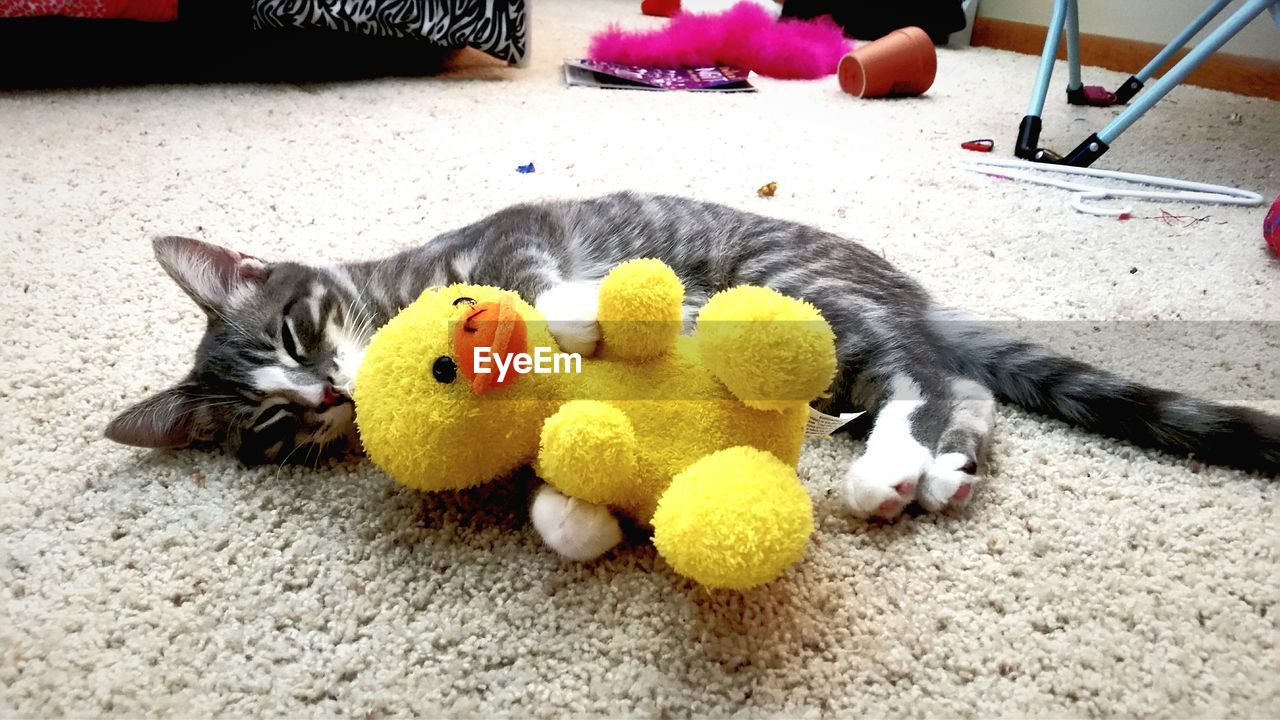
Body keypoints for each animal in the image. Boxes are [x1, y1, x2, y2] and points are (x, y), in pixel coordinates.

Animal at [107, 194, 1280, 556]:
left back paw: (886, 467)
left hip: (794, 288)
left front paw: (579, 311)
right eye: (267, 428)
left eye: (297, 332)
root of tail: (901, 284)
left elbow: (535, 280)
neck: (391, 287)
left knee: (920, 372)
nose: (325, 399)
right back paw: (931, 471)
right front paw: (570, 517)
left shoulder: (516, 231)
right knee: (967, 390)